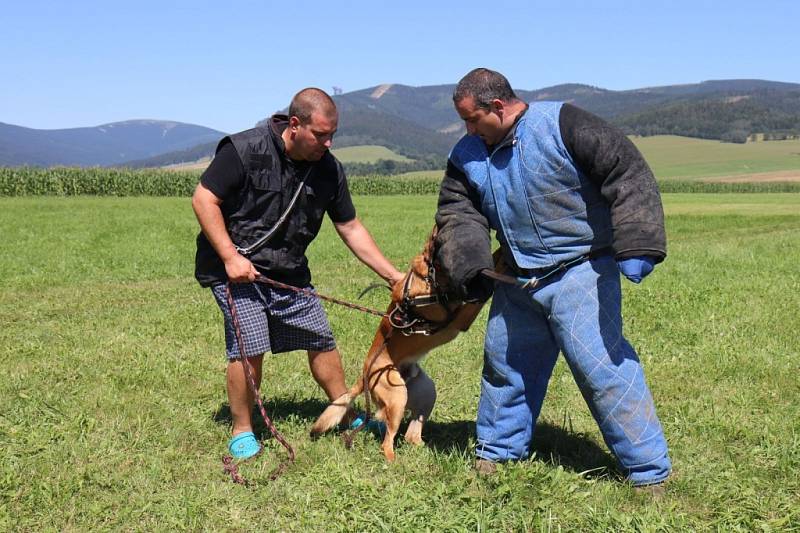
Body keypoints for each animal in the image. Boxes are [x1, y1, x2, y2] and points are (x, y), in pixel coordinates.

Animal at [310, 227, 494, 460]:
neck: (429, 275)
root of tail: (364, 374)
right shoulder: (461, 318)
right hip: (397, 397)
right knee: (387, 441)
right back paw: (393, 461)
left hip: (426, 392)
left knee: (411, 436)